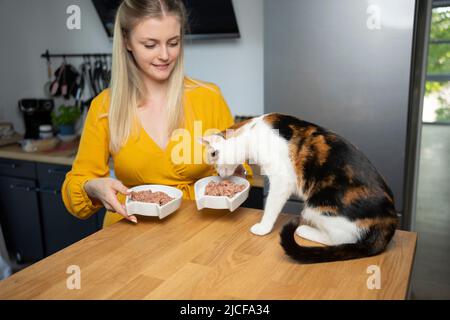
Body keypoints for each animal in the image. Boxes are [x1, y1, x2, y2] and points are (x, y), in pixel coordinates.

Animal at [200, 112, 398, 262]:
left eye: (213, 154)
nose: (218, 174)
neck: (252, 132)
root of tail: (390, 218)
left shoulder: (281, 180)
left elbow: (271, 207)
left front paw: (263, 227)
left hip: (317, 206)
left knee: (342, 238)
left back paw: (305, 230)